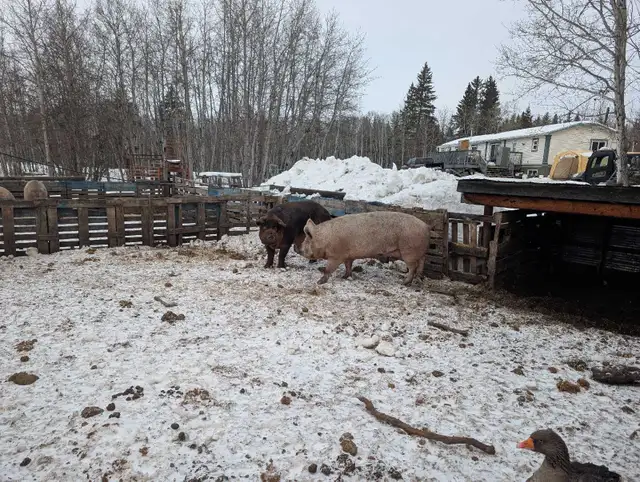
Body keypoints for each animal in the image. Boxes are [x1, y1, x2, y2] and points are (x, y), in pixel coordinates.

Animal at [300, 210, 431, 286]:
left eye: (306, 241)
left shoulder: (336, 255)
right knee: (421, 263)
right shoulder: (348, 255)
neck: (325, 239)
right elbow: (348, 266)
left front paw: (319, 282)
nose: (299, 249)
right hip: (419, 252)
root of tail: (425, 226)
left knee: (413, 267)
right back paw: (419, 279)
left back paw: (404, 282)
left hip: (409, 251)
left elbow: (328, 269)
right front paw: (344, 277)